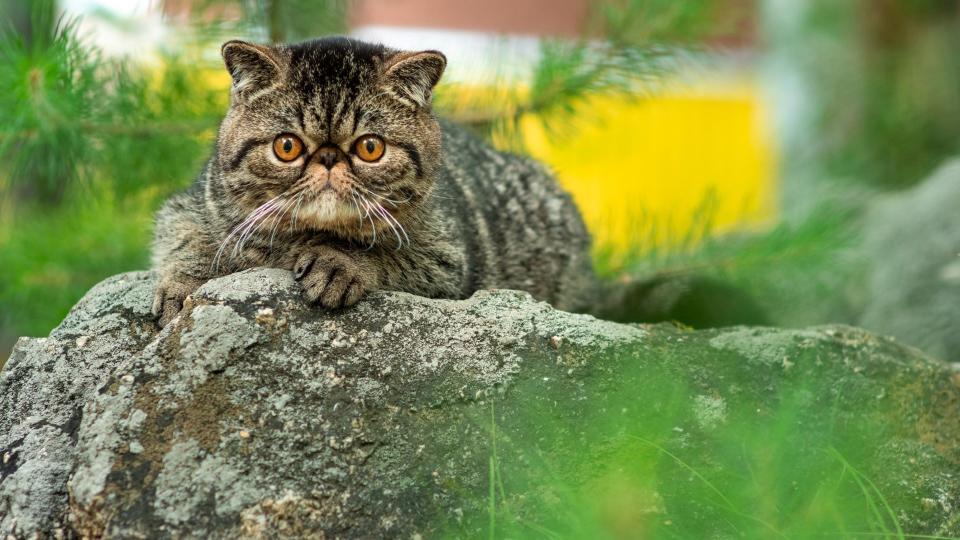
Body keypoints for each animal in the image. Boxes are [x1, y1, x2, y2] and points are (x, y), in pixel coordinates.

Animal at [151, 38, 596, 326]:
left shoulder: (448, 262)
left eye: (369, 148)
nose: (329, 157)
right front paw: (185, 283)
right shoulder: (189, 206)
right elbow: (188, 240)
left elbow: (387, 253)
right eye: (287, 146)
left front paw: (339, 262)